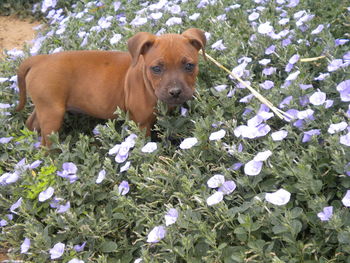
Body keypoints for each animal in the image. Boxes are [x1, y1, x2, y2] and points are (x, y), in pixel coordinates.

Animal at [16, 29, 206, 148]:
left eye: (189, 66)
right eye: (157, 69)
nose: (175, 92)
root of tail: (39, 59)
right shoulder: (141, 124)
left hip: (45, 106)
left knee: (32, 123)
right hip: (52, 113)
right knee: (46, 144)